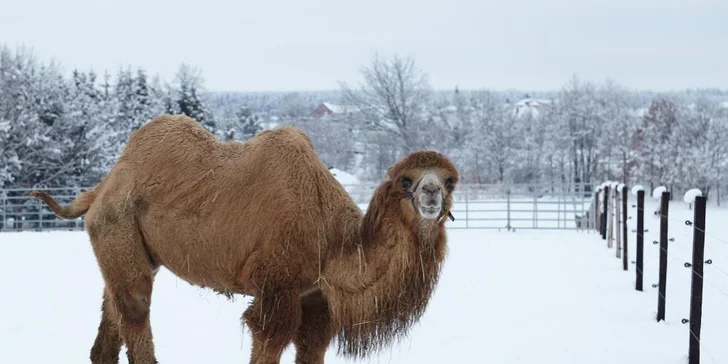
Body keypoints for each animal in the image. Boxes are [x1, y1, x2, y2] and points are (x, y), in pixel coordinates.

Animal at [32, 114, 460, 364]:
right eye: (406, 180)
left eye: (451, 179)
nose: (431, 194)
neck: (333, 241)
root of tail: (103, 185)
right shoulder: (276, 287)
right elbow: (269, 336)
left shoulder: (315, 297)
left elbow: (311, 344)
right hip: (117, 224)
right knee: (135, 307)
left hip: (126, 246)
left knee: (113, 310)